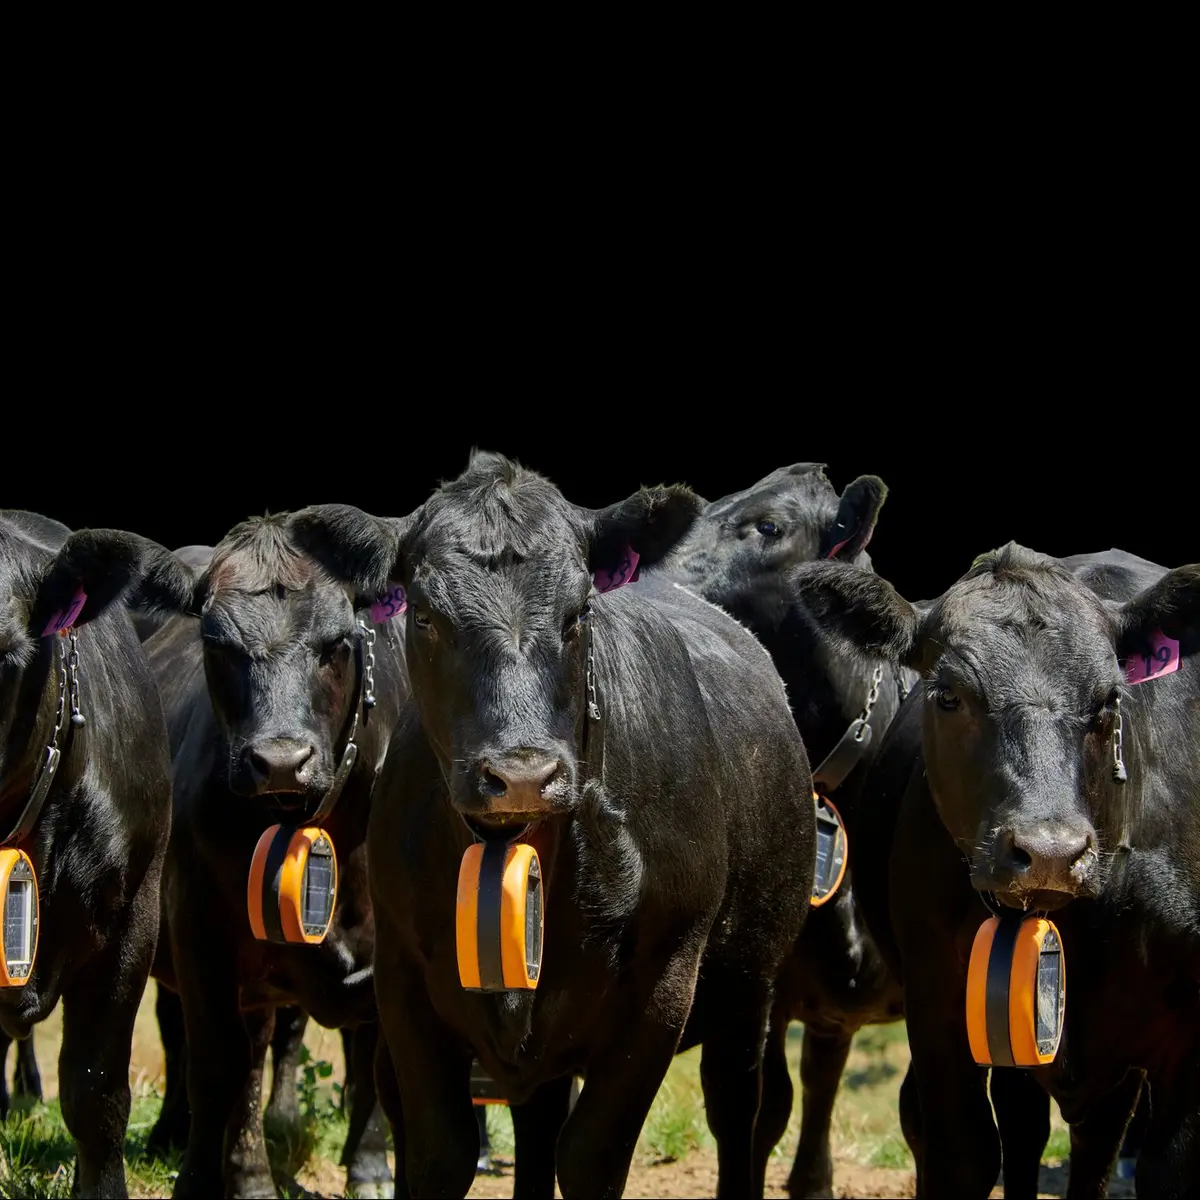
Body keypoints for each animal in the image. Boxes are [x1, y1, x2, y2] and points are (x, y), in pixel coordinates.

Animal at [141, 509, 413, 1198]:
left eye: (338, 642)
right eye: (217, 645)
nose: (281, 760)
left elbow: (374, 1056)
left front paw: (370, 1167)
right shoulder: (199, 927)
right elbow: (217, 1064)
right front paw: (206, 1179)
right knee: (193, 1037)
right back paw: (185, 1140)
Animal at [288, 450, 818, 1199]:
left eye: (578, 613)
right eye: (426, 616)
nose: (522, 774)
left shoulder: (663, 984)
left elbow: (591, 1155)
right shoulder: (403, 979)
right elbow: (439, 1151)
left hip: (751, 988)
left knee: (739, 1111)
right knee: (537, 1122)